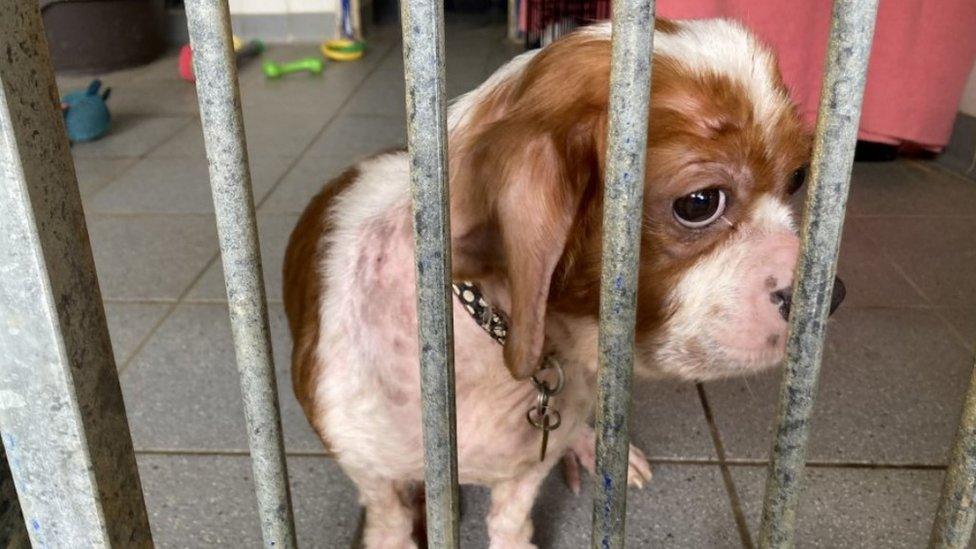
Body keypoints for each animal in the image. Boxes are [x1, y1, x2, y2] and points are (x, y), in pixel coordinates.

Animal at [284, 18, 848, 548]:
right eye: (699, 203)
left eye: (799, 178)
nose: (831, 297)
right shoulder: (366, 464)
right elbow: (389, 515)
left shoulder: (531, 464)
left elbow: (511, 517)